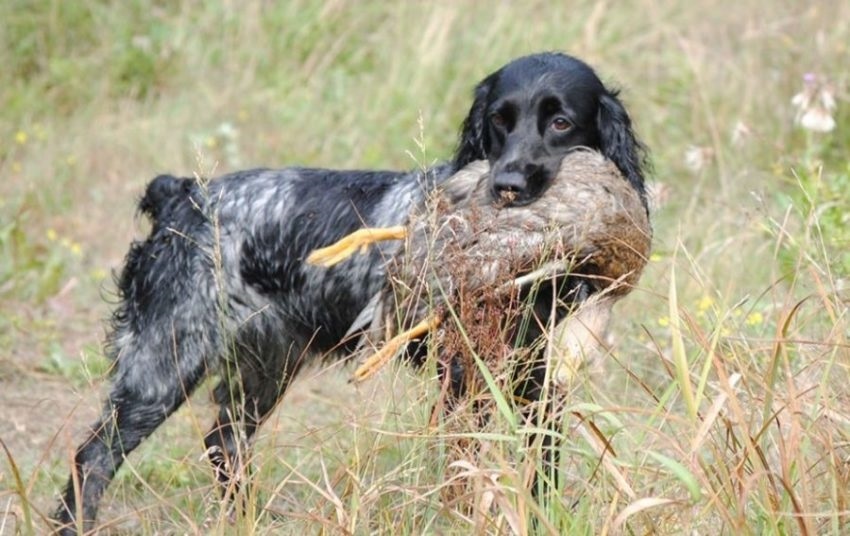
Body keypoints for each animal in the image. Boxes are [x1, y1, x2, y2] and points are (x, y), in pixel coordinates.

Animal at [53, 52, 644, 532]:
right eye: (499, 121)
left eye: (561, 121)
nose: (507, 187)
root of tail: (182, 196)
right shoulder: (462, 379)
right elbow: (465, 470)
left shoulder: (540, 384)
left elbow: (541, 474)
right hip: (165, 364)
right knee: (93, 459)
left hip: (266, 366)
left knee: (223, 444)